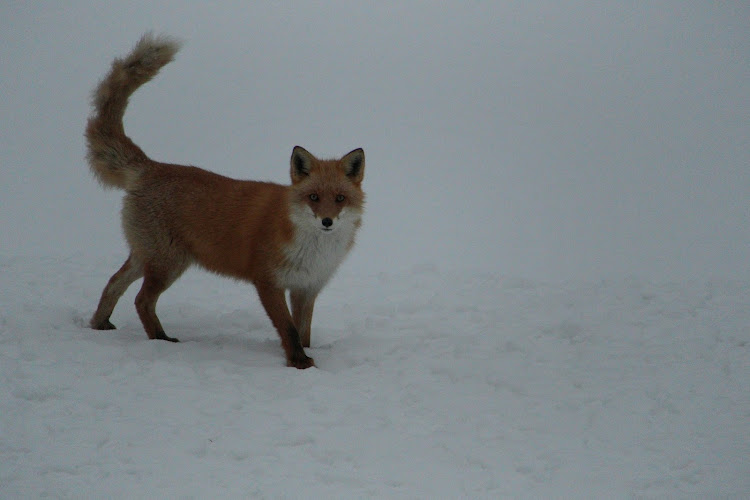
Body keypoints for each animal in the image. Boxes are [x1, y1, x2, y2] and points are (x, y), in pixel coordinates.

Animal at [85, 34, 368, 368]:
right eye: (313, 197)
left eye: (339, 199)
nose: (327, 221)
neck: (311, 249)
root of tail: (152, 166)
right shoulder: (268, 282)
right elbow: (288, 329)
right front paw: (299, 364)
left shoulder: (306, 289)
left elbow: (304, 331)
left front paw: (305, 356)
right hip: (167, 264)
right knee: (141, 300)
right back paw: (161, 340)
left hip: (148, 258)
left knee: (113, 284)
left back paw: (100, 324)